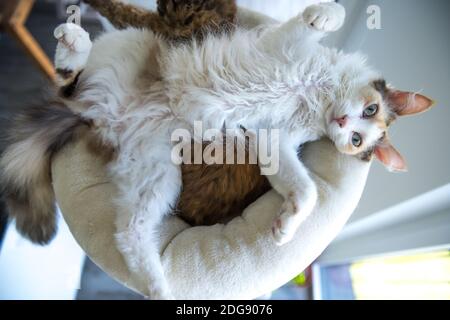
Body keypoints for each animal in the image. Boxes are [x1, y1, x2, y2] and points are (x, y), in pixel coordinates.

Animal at [0, 2, 436, 298]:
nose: (345, 125)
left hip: (158, 176)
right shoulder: (286, 43)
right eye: (369, 111)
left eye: (358, 140)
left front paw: (287, 224)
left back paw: (158, 287)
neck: (316, 96)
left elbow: (307, 190)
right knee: (68, 78)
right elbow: (326, 16)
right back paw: (73, 38)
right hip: (134, 47)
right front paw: (325, 16)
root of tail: (101, 115)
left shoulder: (274, 141)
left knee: (129, 232)